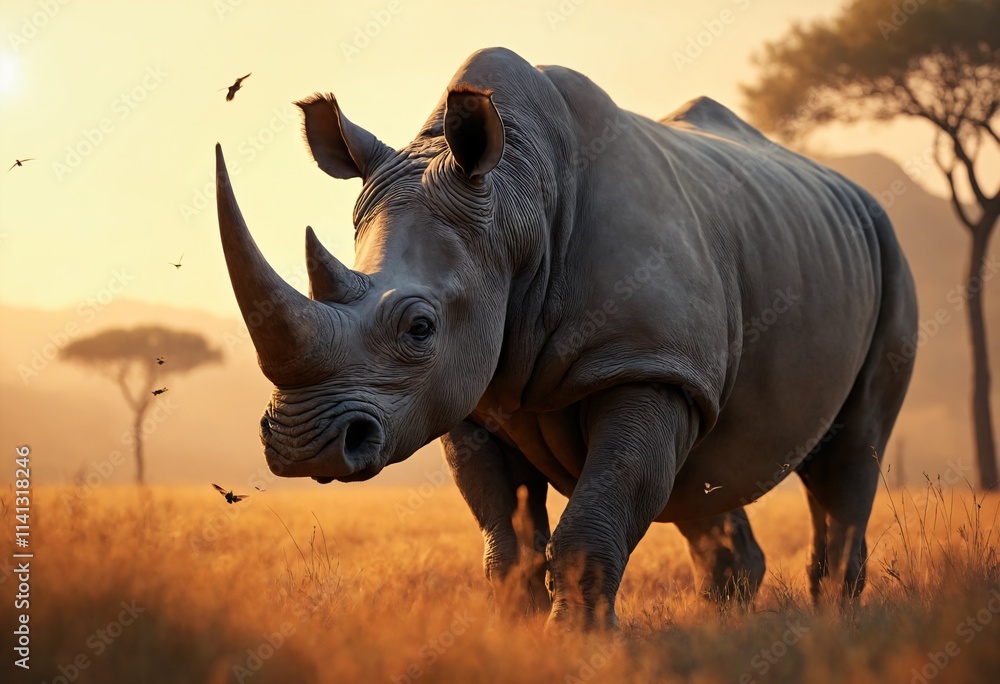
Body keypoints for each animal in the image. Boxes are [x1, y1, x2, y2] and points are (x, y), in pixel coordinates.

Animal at [216, 47, 916, 628]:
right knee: (705, 471)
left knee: (849, 453)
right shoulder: (471, 394)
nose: (304, 447)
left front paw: (578, 644)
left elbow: (597, 513)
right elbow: (507, 536)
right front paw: (514, 638)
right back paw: (727, 624)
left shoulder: (647, 363)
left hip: (885, 251)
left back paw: (832, 623)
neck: (515, 200)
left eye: (420, 328)